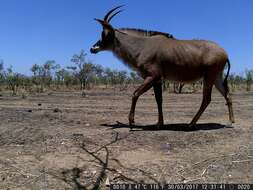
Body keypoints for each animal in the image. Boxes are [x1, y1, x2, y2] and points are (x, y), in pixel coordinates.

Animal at [90, 5, 234, 127]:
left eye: (105, 34)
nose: (93, 48)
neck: (142, 46)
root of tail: (224, 53)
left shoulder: (152, 76)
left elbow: (135, 94)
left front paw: (131, 121)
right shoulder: (158, 80)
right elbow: (159, 100)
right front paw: (159, 123)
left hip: (209, 77)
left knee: (206, 99)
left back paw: (191, 124)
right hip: (216, 77)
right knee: (227, 95)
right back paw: (231, 121)